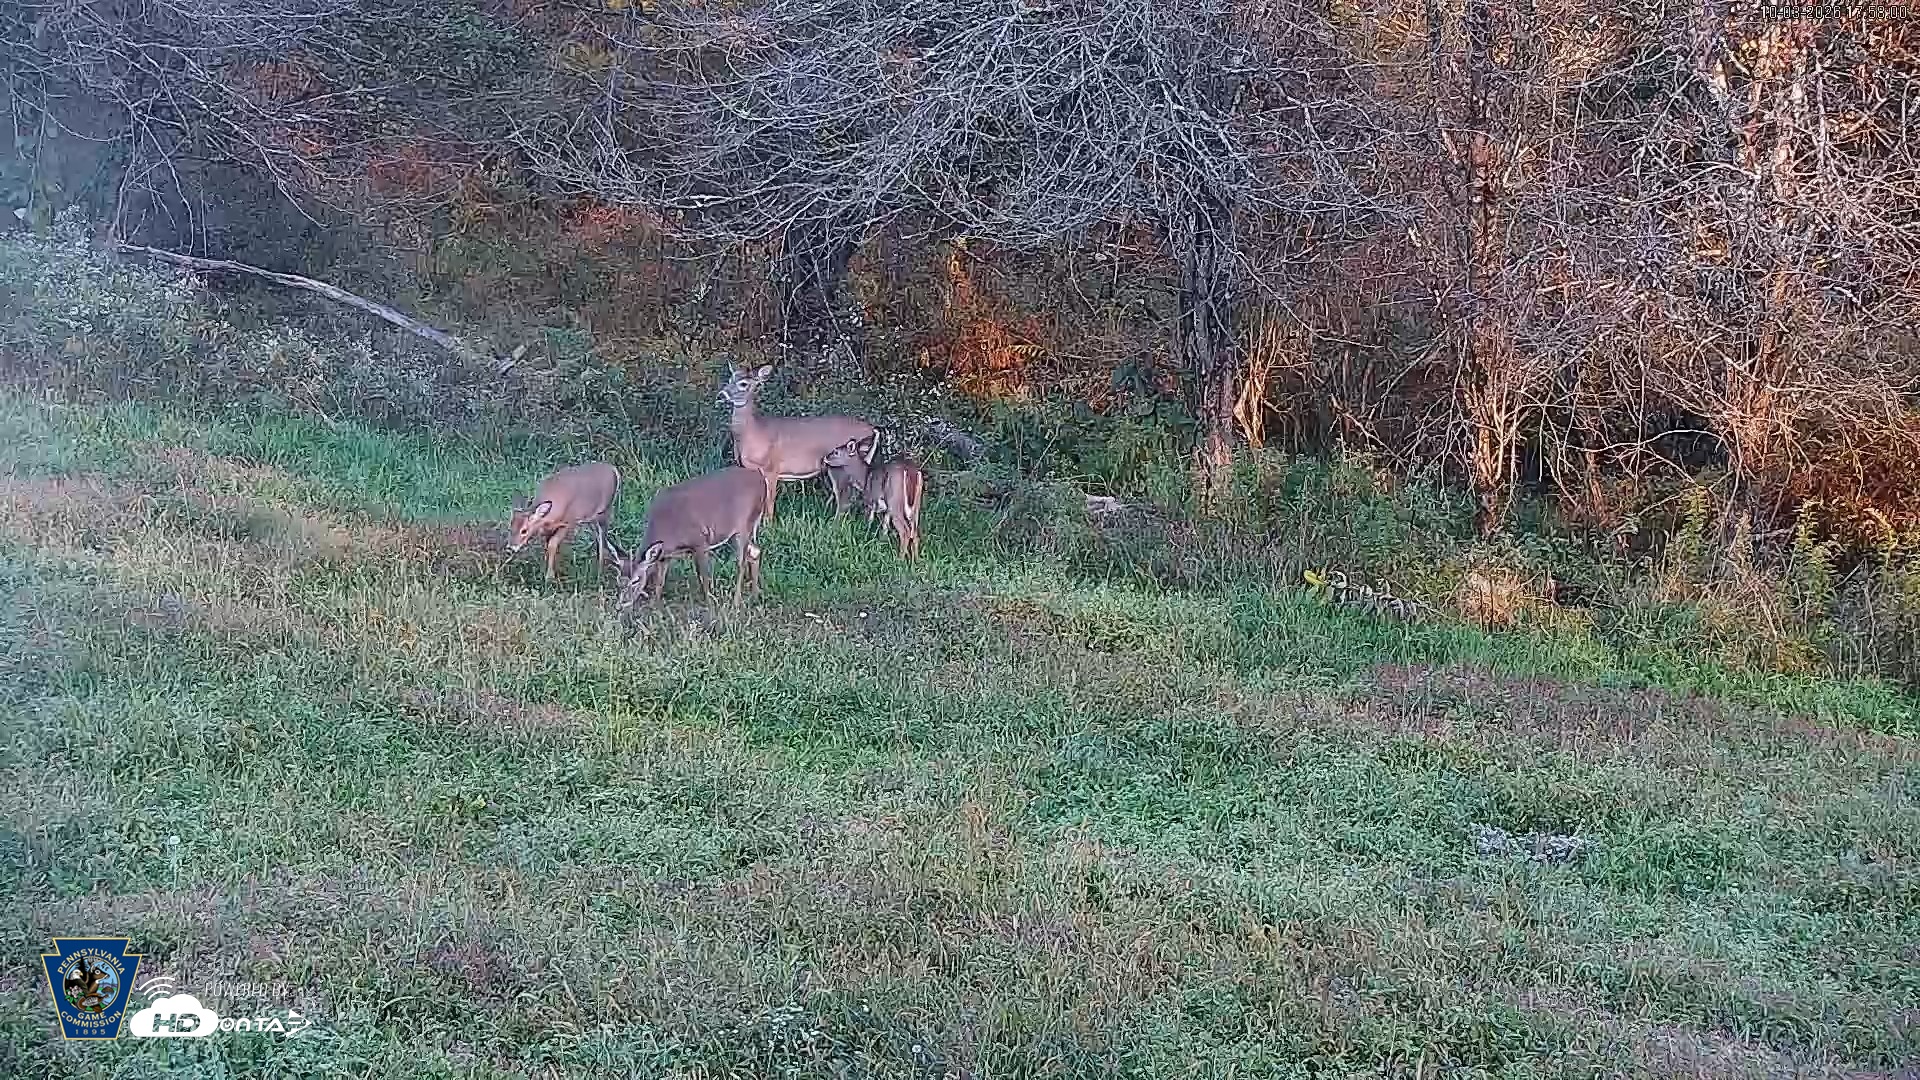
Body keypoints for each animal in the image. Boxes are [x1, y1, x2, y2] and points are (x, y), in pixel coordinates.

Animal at [608, 466, 769, 608]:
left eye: (636, 580)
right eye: (618, 580)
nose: (619, 605)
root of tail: (761, 479)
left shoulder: (701, 541)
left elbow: (703, 577)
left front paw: (710, 604)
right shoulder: (665, 555)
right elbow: (660, 581)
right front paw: (654, 605)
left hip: (743, 526)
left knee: (741, 563)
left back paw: (736, 602)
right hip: (740, 531)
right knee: (755, 551)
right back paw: (755, 596)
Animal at [718, 362, 876, 520]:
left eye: (743, 384)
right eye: (730, 379)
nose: (722, 394)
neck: (753, 433)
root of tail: (873, 430)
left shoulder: (771, 468)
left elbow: (769, 502)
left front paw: (769, 523)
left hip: (841, 466)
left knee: (844, 500)